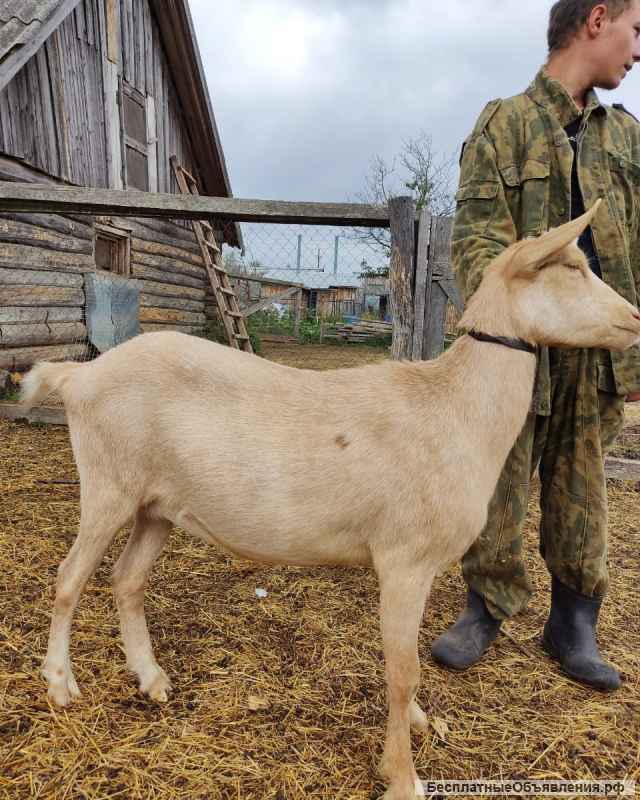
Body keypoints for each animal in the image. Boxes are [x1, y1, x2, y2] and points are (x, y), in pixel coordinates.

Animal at [20, 201, 640, 800]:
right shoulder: (404, 559)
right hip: (108, 484)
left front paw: (417, 723)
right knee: (69, 578)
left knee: (126, 579)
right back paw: (60, 684)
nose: (635, 319)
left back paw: (151, 679)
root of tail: (79, 377)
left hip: (156, 505)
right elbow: (403, 671)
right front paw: (402, 776)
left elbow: (406, 666)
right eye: (571, 267)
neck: (455, 408)